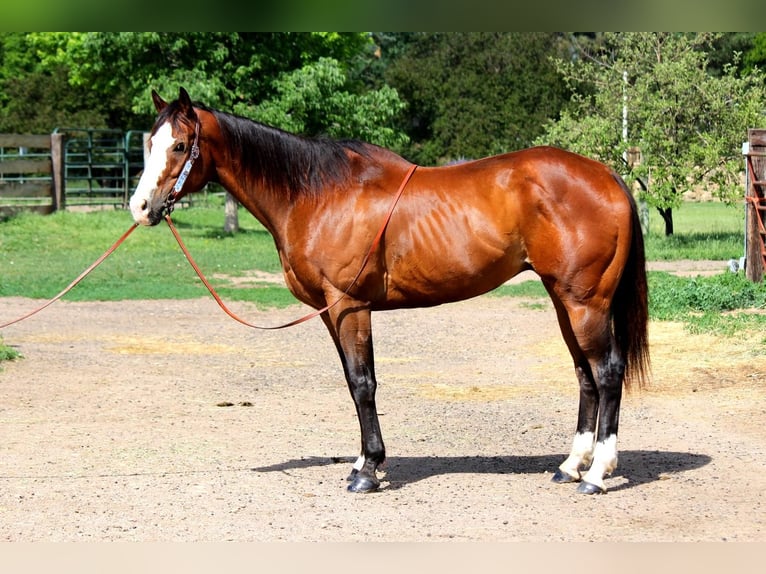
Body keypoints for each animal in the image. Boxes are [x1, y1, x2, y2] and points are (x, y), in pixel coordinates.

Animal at [129, 87, 650, 495]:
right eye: (149, 143)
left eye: (180, 145)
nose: (140, 207)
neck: (317, 194)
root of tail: (607, 175)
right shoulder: (330, 313)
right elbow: (352, 381)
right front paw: (363, 462)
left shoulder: (350, 306)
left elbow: (364, 384)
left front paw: (368, 472)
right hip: (563, 301)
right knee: (585, 374)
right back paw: (571, 465)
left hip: (585, 303)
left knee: (607, 372)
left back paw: (596, 474)